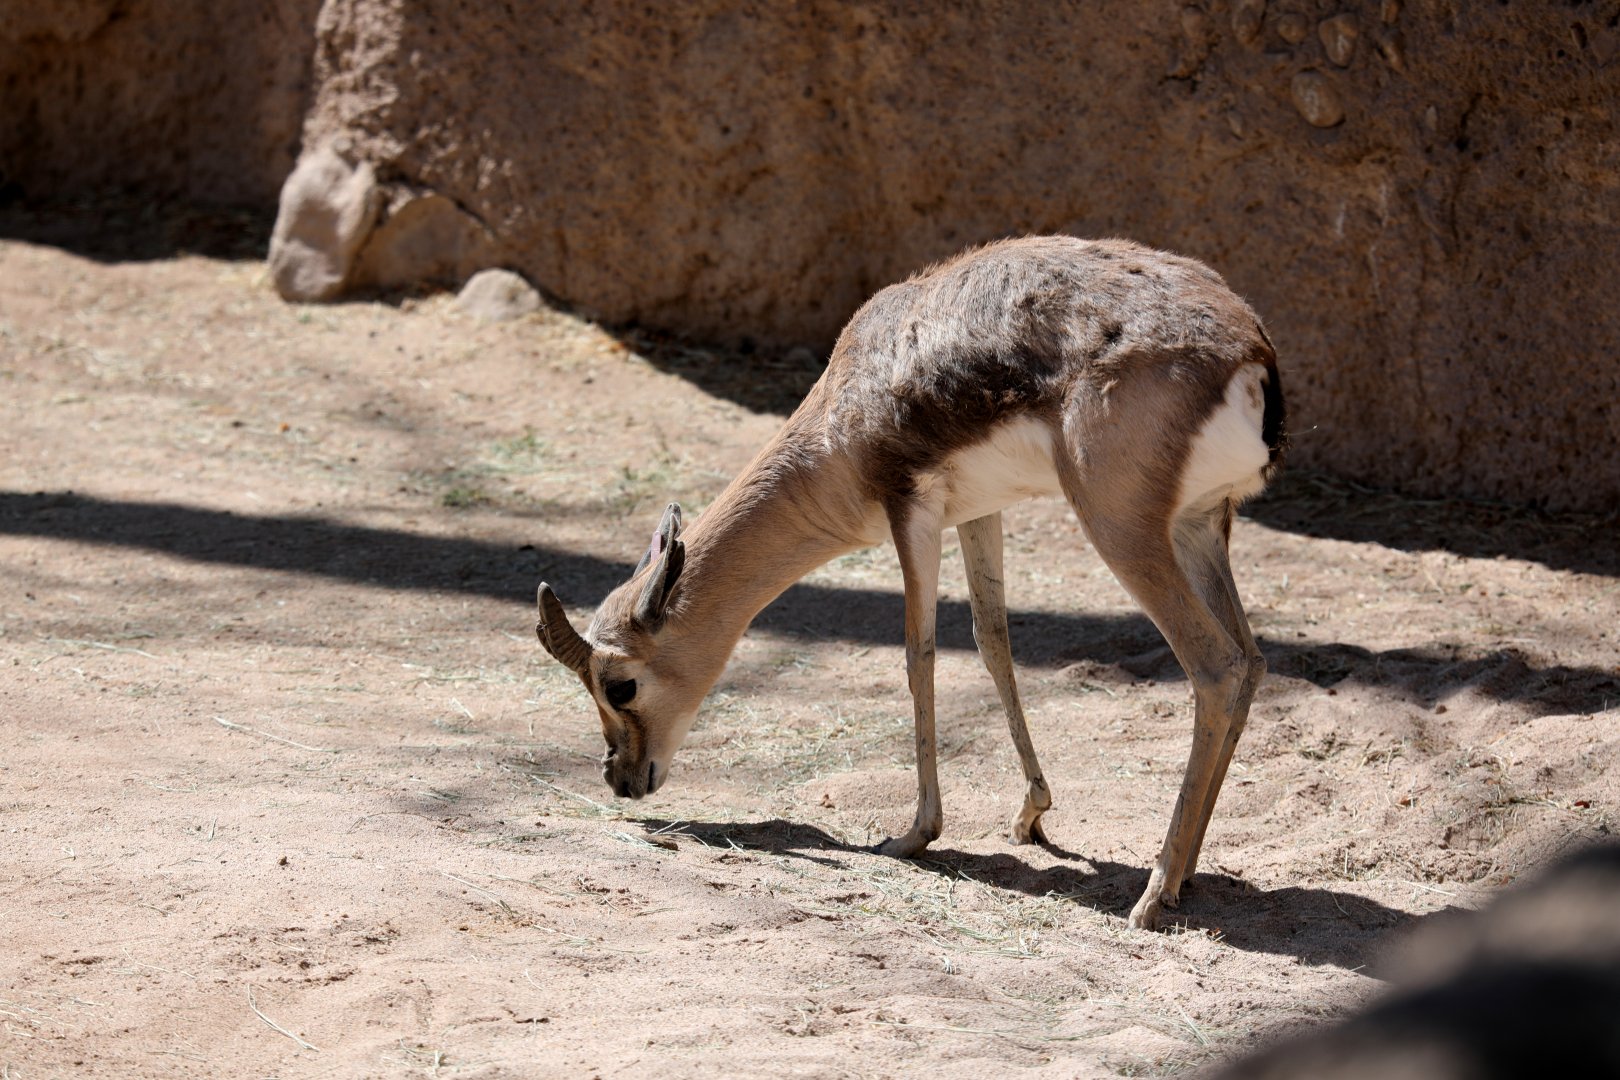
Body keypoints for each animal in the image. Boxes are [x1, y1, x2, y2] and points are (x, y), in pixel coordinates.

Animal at [536, 236, 1285, 930]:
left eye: (619, 685)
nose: (620, 777)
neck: (845, 411)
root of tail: (1249, 350)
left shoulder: (910, 509)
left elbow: (918, 656)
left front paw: (913, 835)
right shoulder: (979, 510)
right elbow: (992, 641)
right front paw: (1031, 814)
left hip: (1122, 530)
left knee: (1214, 666)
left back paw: (1152, 896)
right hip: (1196, 527)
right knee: (1249, 662)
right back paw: (1185, 873)